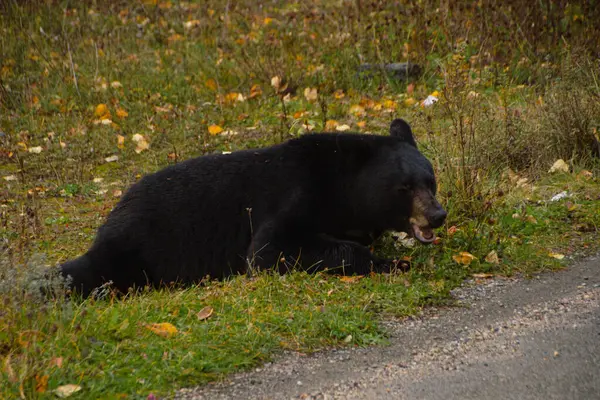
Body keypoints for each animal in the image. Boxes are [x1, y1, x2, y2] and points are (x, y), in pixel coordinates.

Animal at [61, 119, 446, 296]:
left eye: (430, 180)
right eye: (404, 187)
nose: (437, 215)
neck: (341, 186)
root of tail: (107, 223)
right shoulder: (296, 192)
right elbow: (268, 249)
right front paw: (390, 262)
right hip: (135, 251)